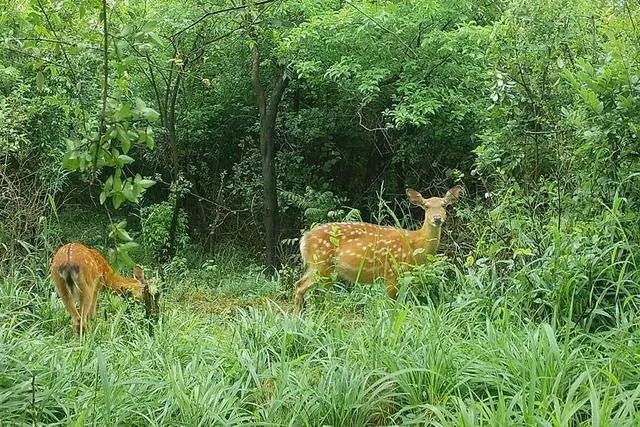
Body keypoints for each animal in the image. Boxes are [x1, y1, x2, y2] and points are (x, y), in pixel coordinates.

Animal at [292, 187, 462, 314]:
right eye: (426, 206)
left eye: (444, 205)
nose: (437, 218)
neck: (414, 245)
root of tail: (304, 239)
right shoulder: (391, 273)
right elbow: (392, 304)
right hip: (323, 264)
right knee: (315, 292)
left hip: (318, 266)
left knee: (300, 285)